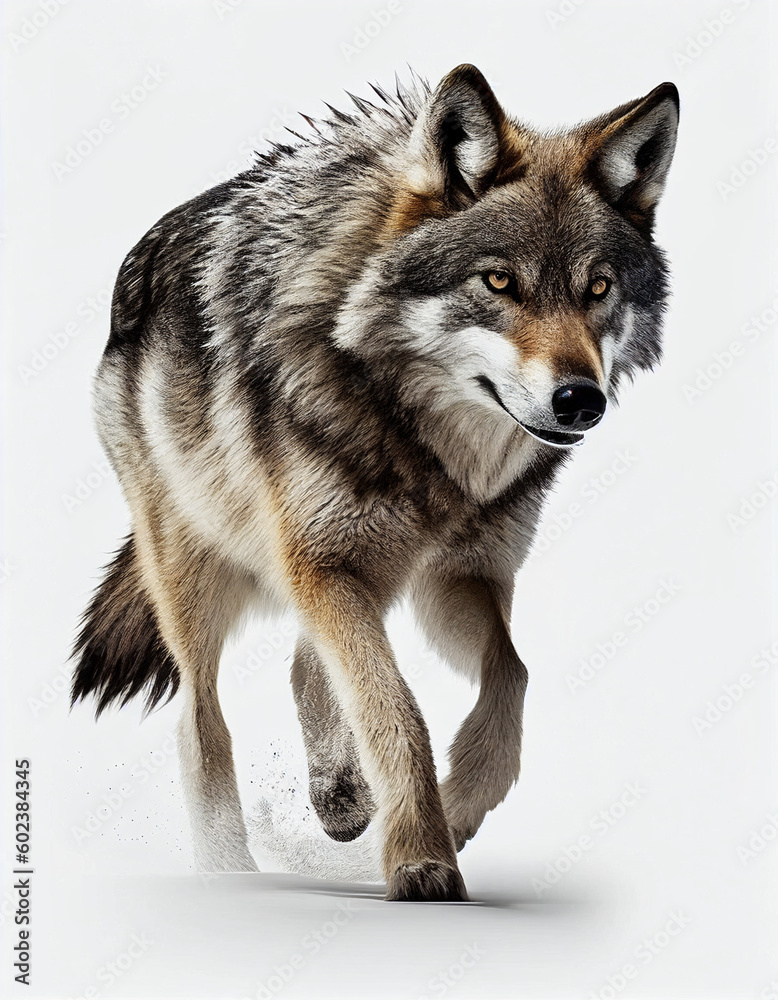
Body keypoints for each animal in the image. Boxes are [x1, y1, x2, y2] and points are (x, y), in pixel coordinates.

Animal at [71, 65, 679, 902]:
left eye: (598, 288)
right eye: (499, 281)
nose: (579, 400)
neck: (432, 455)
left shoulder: (461, 574)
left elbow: (511, 679)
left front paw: (459, 805)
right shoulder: (328, 564)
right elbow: (396, 707)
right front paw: (422, 855)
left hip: (369, 573)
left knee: (304, 664)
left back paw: (340, 800)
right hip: (199, 569)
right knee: (202, 718)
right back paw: (228, 872)